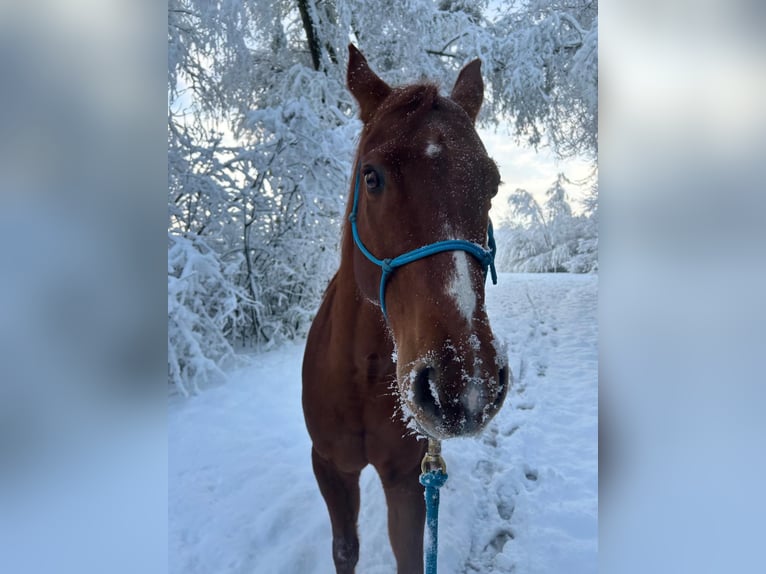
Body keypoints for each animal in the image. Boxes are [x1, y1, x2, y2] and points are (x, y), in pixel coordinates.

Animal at [304, 46, 512, 574]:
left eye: (493, 184)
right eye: (371, 177)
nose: (465, 382)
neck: (360, 375)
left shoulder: (406, 478)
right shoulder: (329, 467)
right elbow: (344, 550)